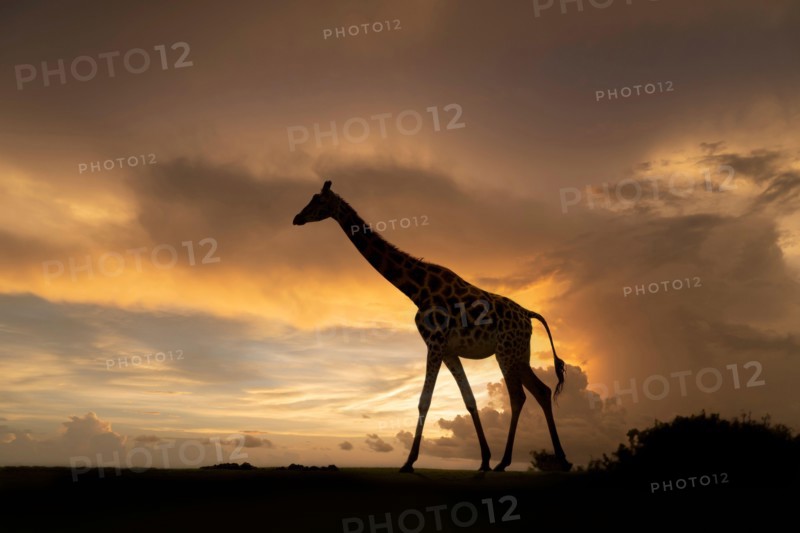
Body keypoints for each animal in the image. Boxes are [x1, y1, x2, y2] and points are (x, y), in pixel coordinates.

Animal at [293, 180, 572, 473]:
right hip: (519, 353)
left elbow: (424, 401)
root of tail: (528, 314)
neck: (416, 289)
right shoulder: (448, 350)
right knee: (542, 391)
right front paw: (484, 459)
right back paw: (558, 460)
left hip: (506, 352)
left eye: (318, 201)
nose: (296, 218)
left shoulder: (435, 342)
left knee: (518, 396)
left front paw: (409, 462)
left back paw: (506, 462)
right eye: (311, 198)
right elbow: (469, 400)